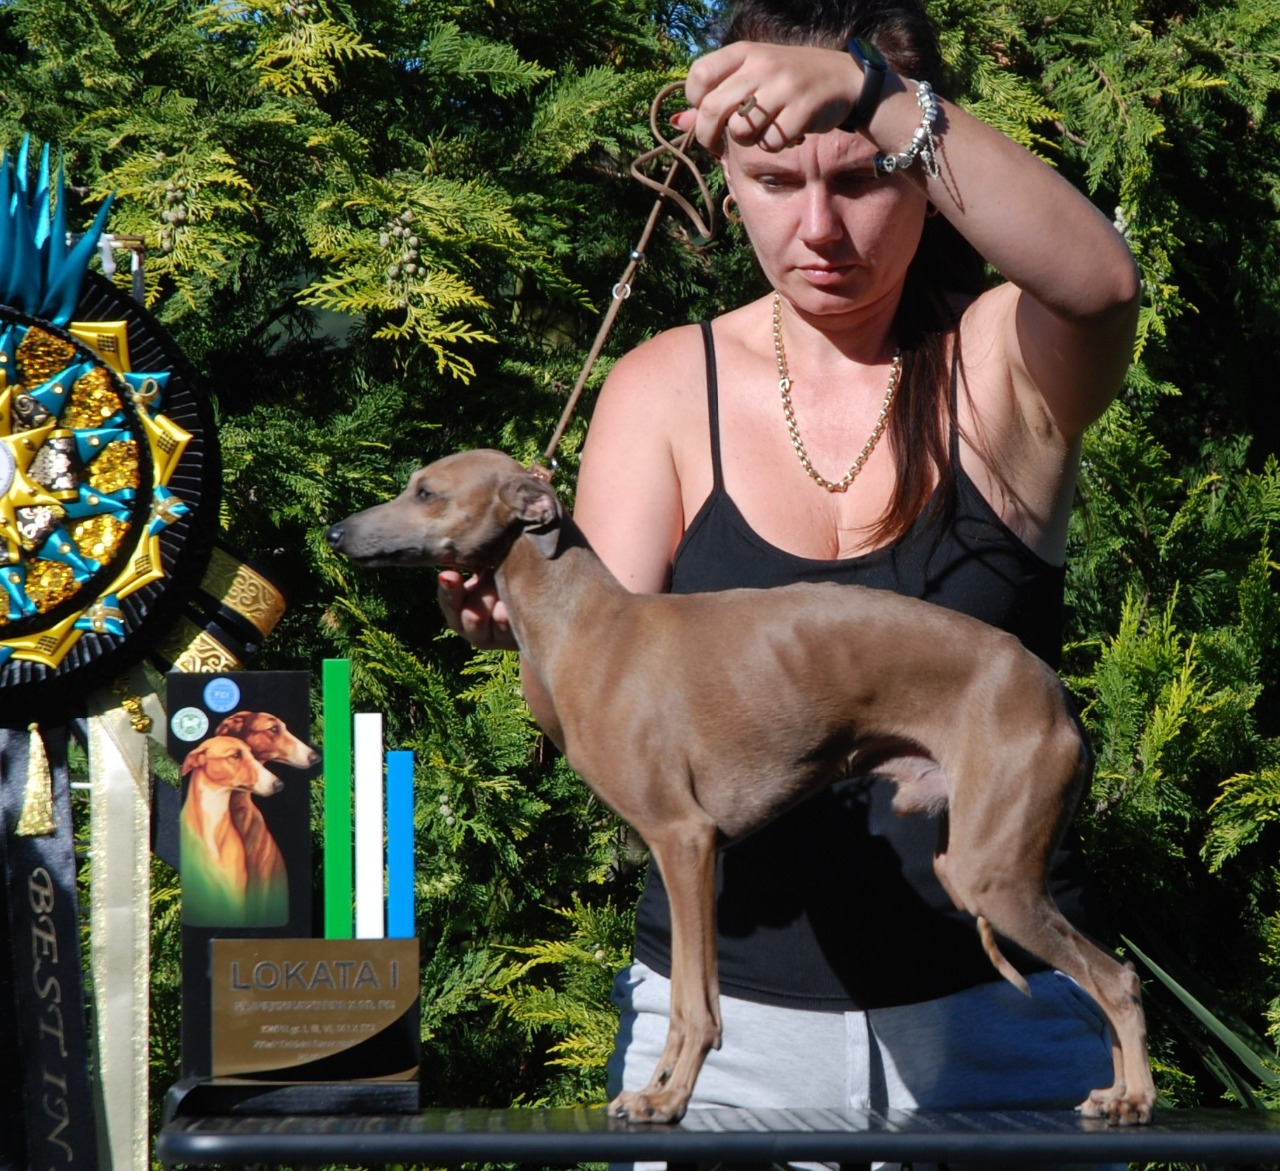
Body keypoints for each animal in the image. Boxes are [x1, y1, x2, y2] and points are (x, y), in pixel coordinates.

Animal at [326, 448, 1155, 1126]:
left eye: (426, 491)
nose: (336, 533)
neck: (588, 621)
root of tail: (1056, 695)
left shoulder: (686, 840)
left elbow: (698, 1007)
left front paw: (667, 1099)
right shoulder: (689, 852)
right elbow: (685, 1000)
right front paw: (654, 1089)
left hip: (993, 874)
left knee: (1117, 978)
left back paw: (1135, 1097)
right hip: (979, 867)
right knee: (1103, 978)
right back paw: (1114, 1093)